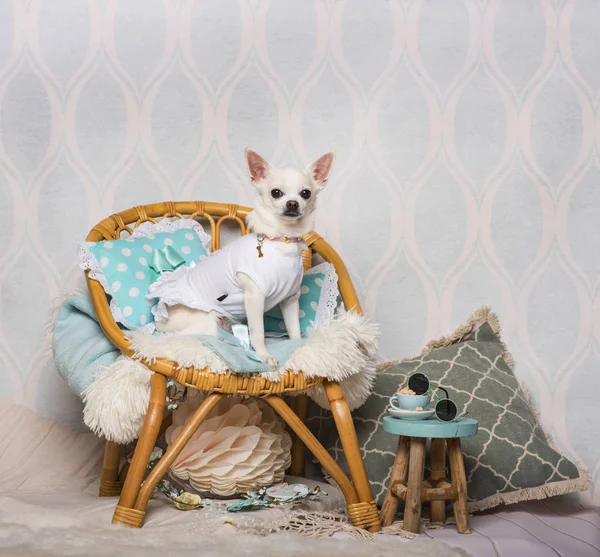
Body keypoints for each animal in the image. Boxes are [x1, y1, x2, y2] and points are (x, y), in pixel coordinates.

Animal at [150, 147, 336, 370]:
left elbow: (294, 329)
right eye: (276, 192)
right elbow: (258, 333)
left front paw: (298, 347)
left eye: (305, 193)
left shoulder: (291, 299)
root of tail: (158, 321)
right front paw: (264, 356)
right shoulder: (255, 298)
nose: (292, 203)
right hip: (208, 324)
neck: (282, 241)